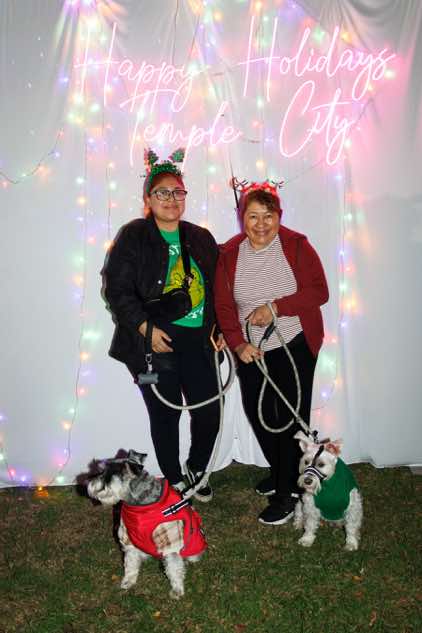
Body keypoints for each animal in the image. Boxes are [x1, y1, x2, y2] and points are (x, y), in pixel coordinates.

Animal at [87, 450, 206, 599]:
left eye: (107, 474)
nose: (88, 483)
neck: (139, 507)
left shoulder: (170, 542)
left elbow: (174, 567)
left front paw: (177, 589)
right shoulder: (128, 538)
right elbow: (130, 562)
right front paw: (128, 581)